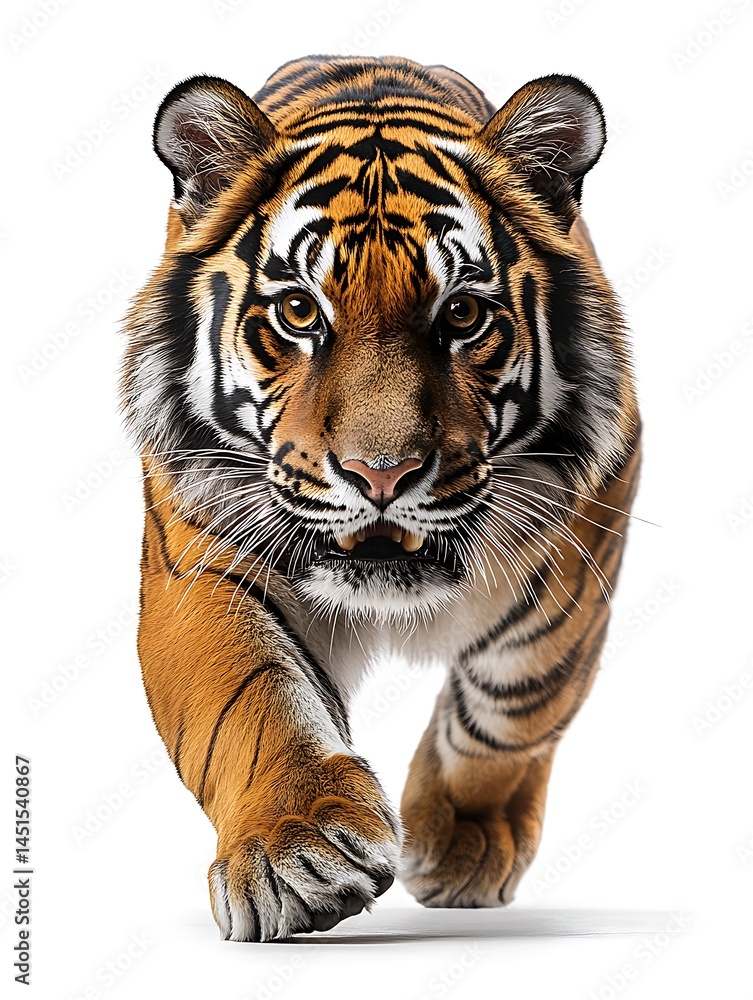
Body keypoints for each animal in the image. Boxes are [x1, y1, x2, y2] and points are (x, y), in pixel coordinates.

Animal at [121, 54, 640, 942]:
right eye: (299, 311)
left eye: (461, 315)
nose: (381, 474)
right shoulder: (199, 563)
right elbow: (248, 695)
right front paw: (296, 854)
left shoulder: (588, 530)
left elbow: (517, 698)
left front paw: (458, 839)